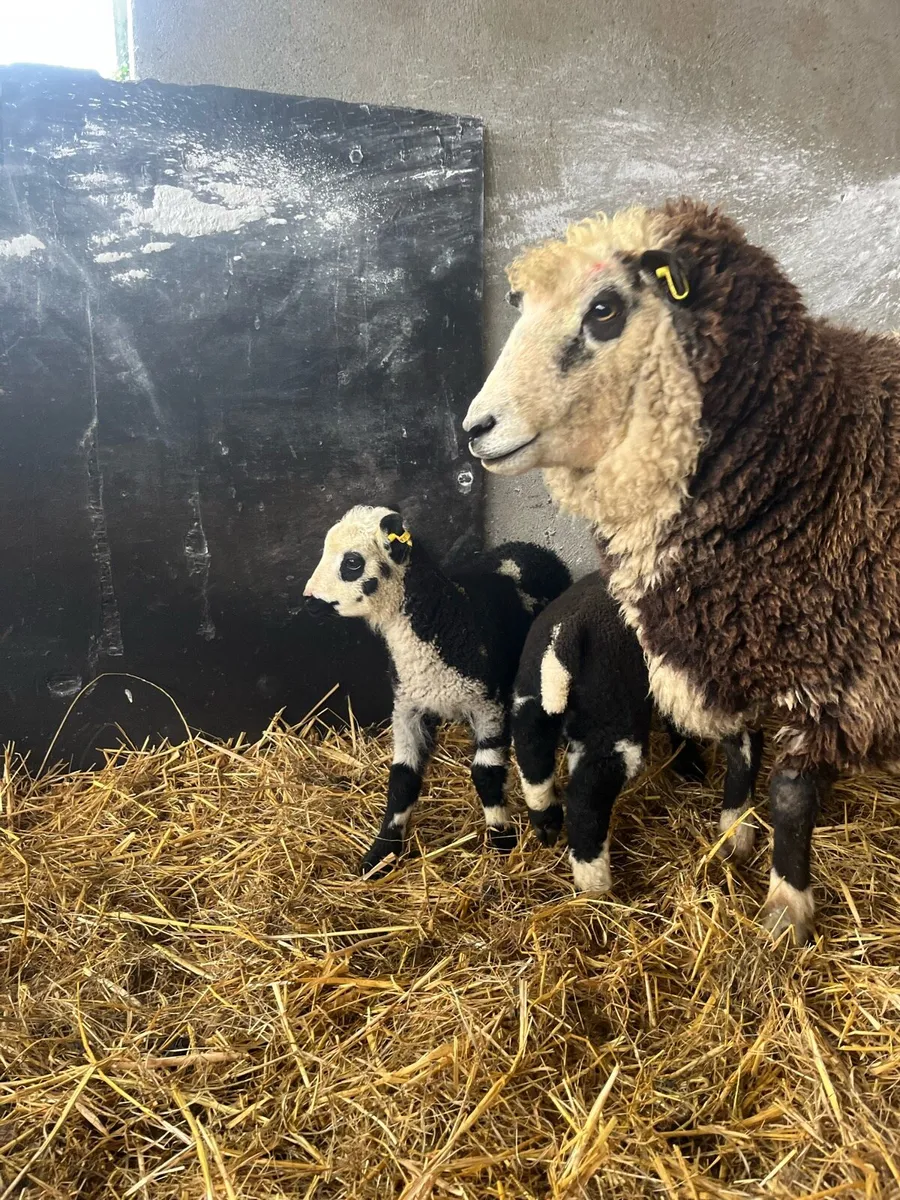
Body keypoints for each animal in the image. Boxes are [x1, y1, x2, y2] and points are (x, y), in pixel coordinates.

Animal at [304, 505, 571, 874]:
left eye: (353, 562)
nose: (308, 598)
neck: (449, 618)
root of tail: (530, 547)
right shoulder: (407, 706)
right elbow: (402, 778)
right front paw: (381, 853)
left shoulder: (489, 706)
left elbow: (485, 775)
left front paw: (500, 839)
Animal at [512, 571, 762, 892]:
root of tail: (563, 640)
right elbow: (745, 750)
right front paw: (737, 830)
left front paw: (689, 764)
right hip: (614, 720)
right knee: (585, 799)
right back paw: (596, 886)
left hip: (531, 699)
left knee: (532, 755)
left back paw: (547, 823)